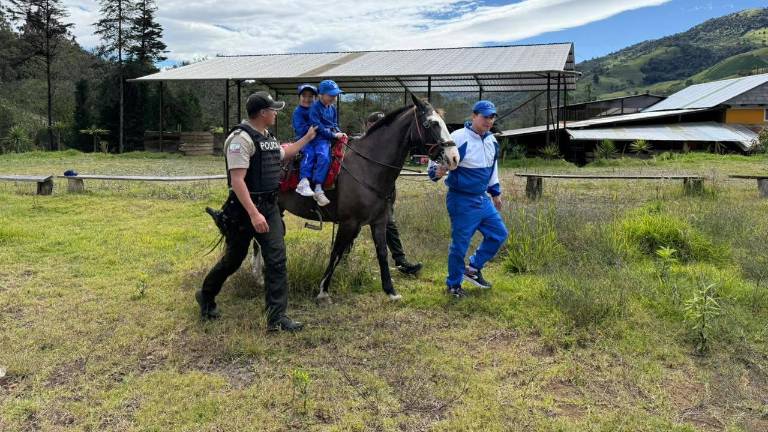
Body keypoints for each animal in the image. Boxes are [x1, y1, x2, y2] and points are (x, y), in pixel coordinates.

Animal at [278, 94, 459, 304]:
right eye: (430, 124)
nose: (454, 157)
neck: (367, 166)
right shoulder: (348, 223)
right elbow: (336, 252)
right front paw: (323, 290)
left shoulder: (379, 221)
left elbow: (382, 252)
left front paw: (390, 291)